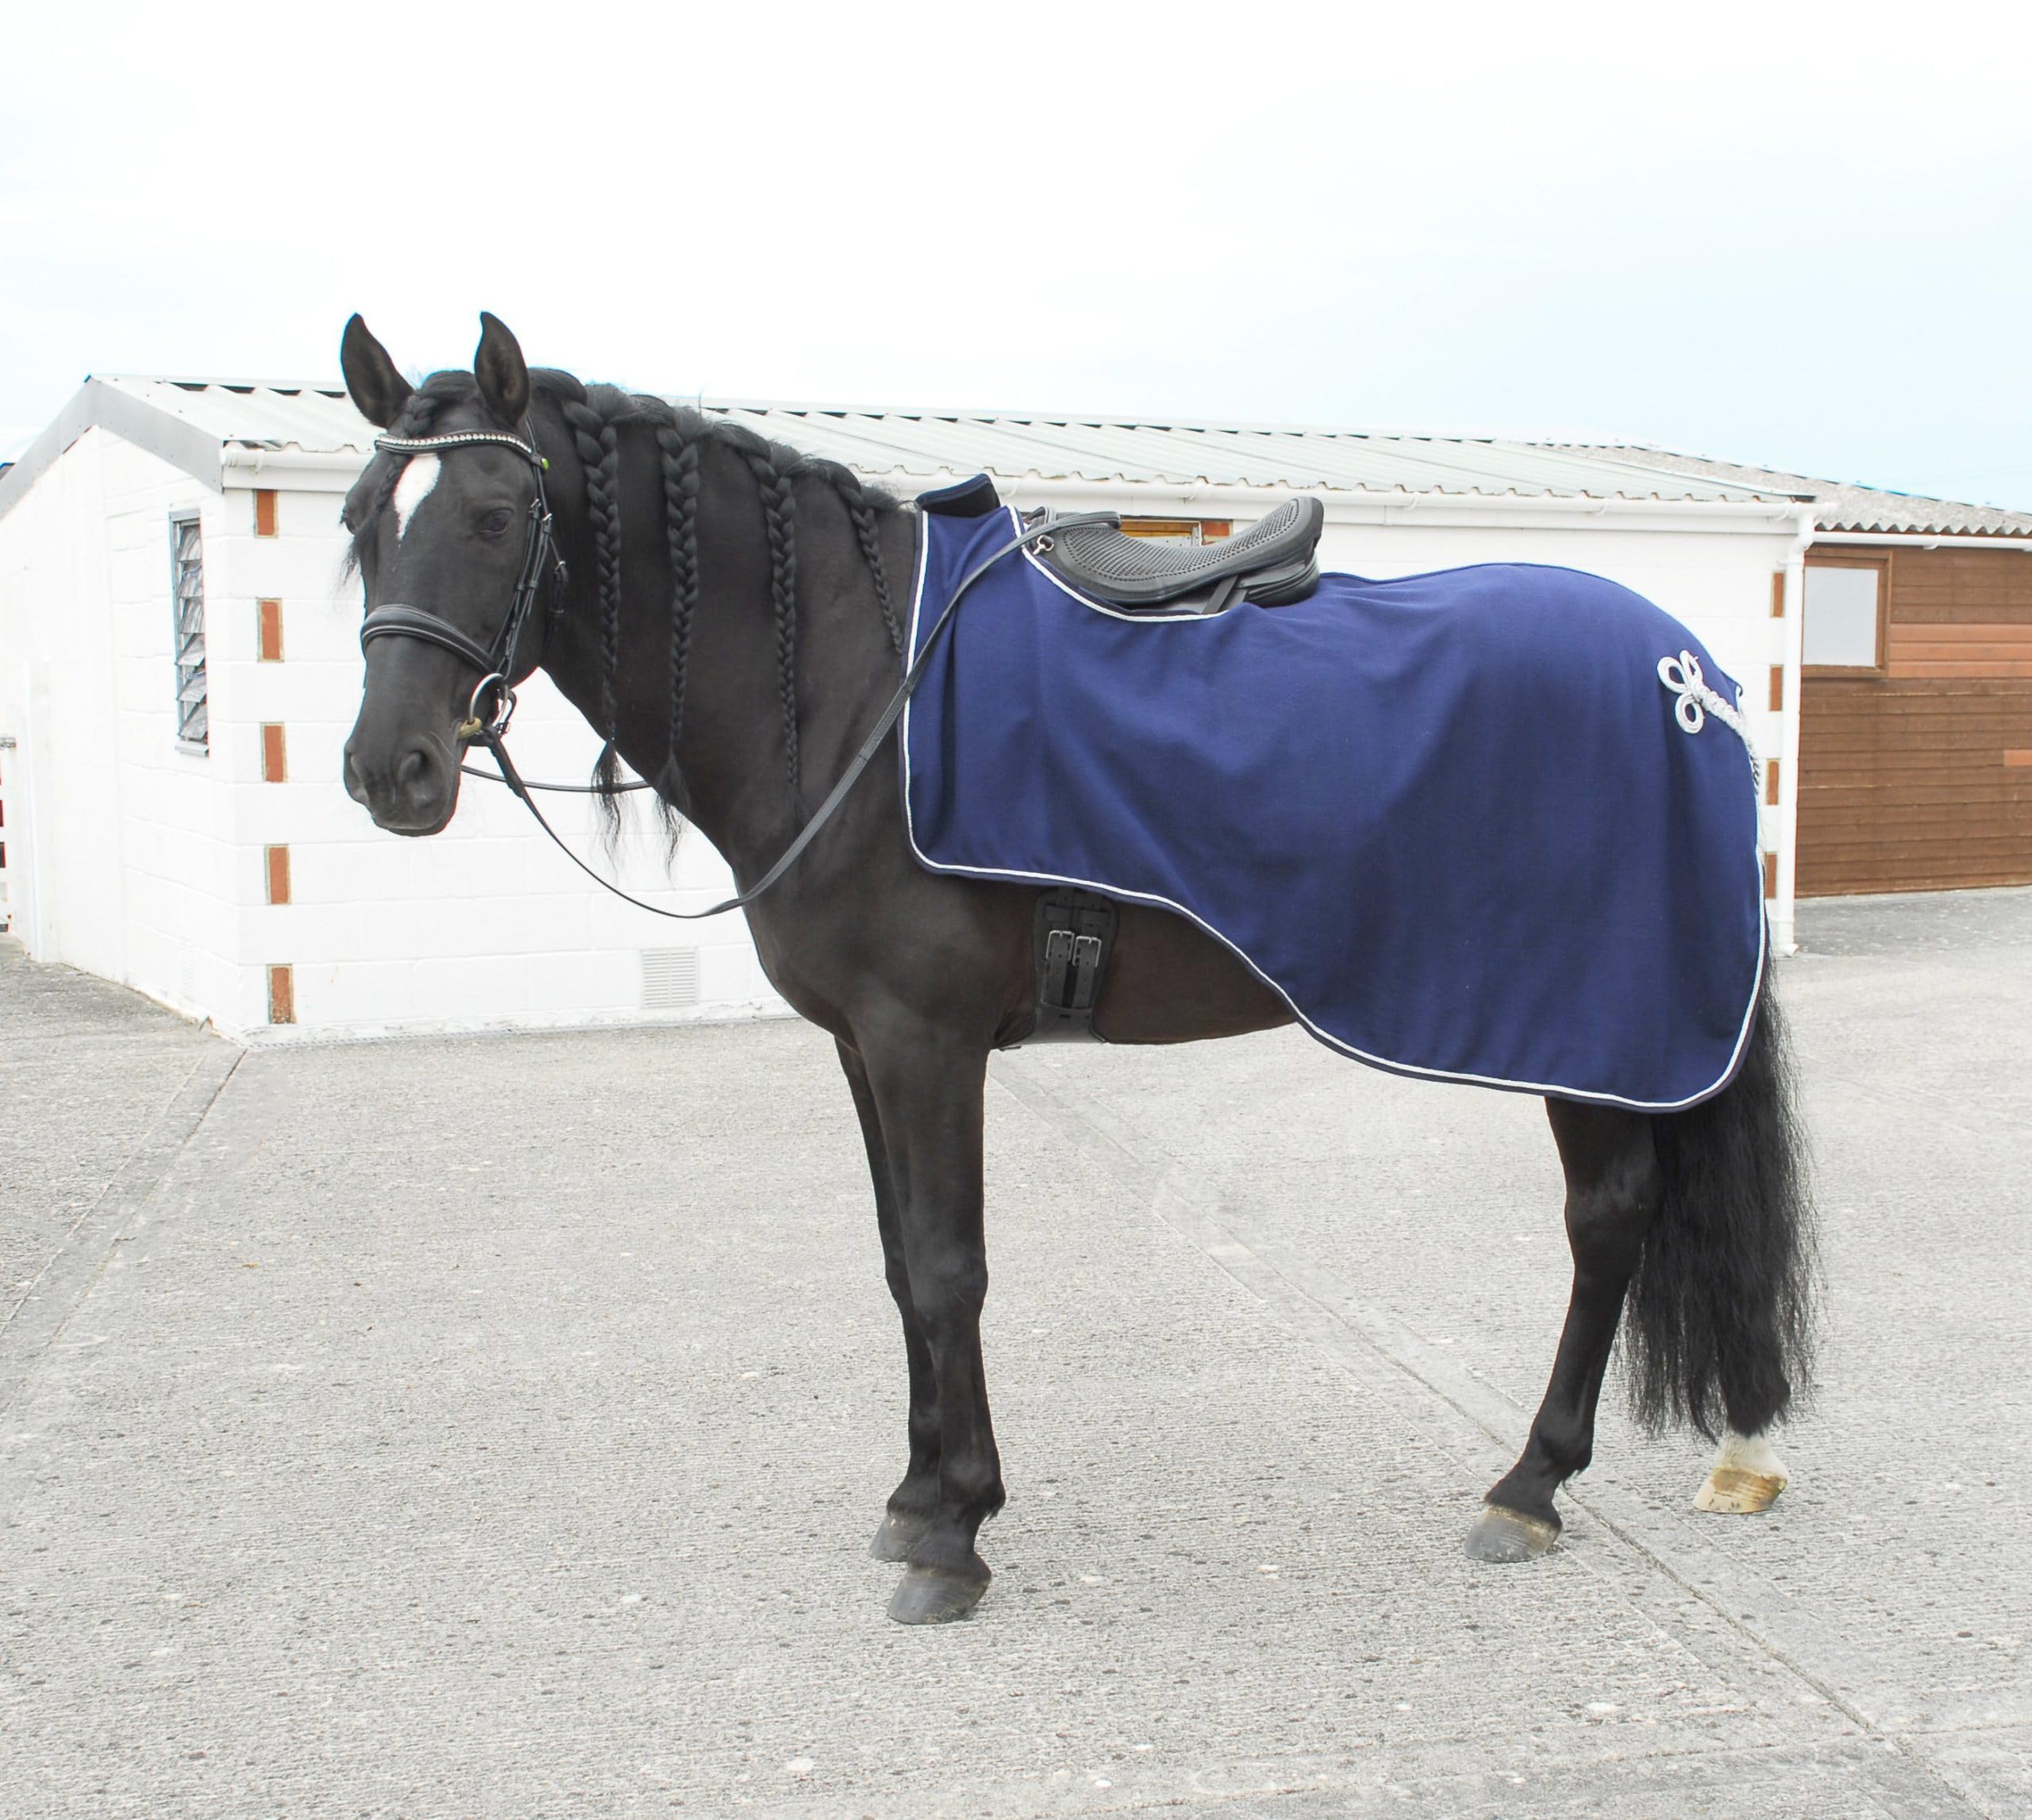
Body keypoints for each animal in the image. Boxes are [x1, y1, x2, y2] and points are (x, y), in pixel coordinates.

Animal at [337, 313, 1816, 1625]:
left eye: (491, 516)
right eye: (362, 523)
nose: (385, 770)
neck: (855, 691)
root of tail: (1690, 676)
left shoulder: (925, 1039)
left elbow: (949, 1267)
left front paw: (955, 1533)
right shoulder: (861, 1044)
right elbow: (899, 1263)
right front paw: (915, 1495)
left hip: (1592, 1028)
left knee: (1606, 1219)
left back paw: (1530, 1483)